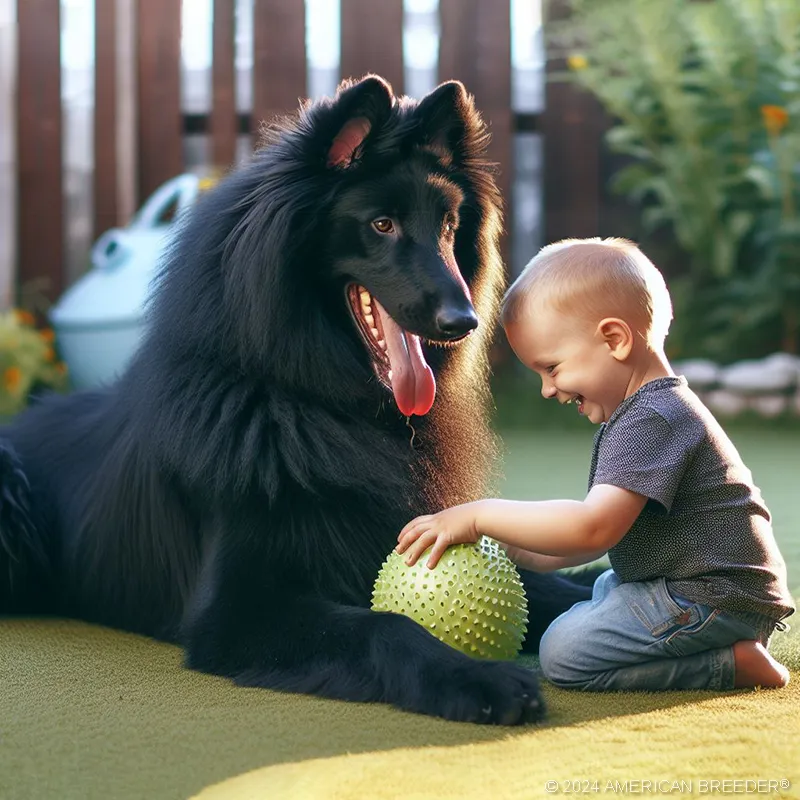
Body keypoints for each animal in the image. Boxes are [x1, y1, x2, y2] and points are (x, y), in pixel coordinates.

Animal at [0, 75, 588, 724]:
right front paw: (479, 678)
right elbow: (385, 627)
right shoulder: (240, 611)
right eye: (382, 225)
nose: (464, 321)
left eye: (448, 225)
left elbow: (554, 585)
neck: (308, 401)